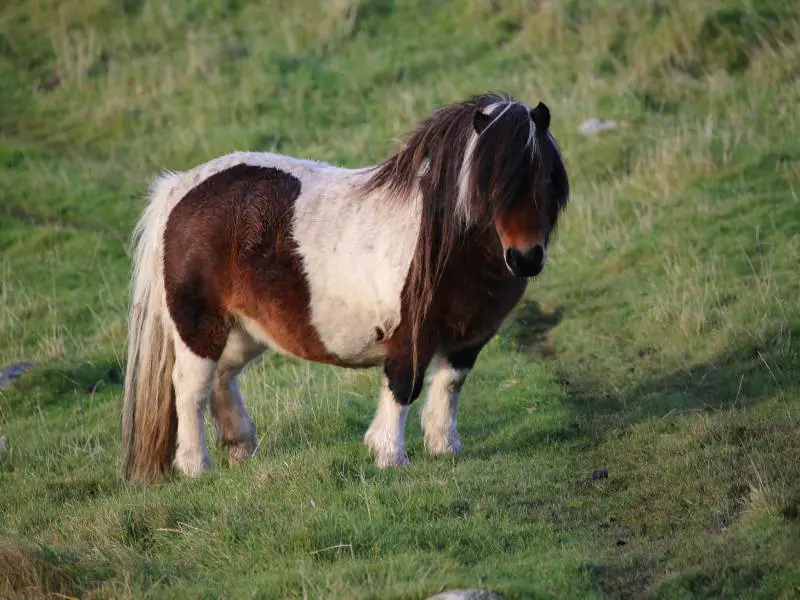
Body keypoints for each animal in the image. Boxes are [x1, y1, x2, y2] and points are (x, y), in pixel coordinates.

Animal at [120, 92, 568, 482]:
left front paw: (445, 449)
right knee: (190, 388)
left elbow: (449, 387)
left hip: (244, 329)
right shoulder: (410, 336)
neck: (449, 242)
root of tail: (180, 187)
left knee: (222, 378)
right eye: (489, 182)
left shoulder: (467, 338)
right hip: (198, 327)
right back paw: (196, 466)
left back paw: (241, 447)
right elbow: (404, 386)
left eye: (546, 177)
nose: (525, 257)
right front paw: (390, 455)